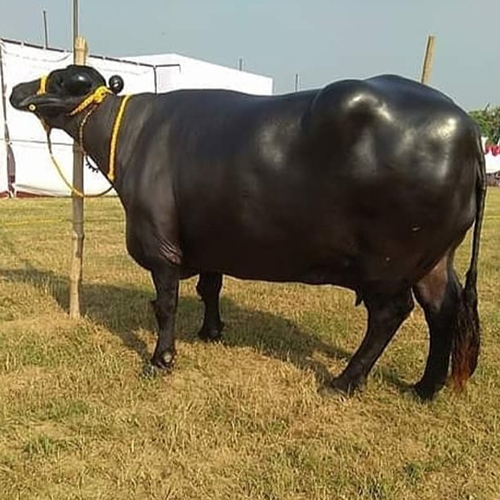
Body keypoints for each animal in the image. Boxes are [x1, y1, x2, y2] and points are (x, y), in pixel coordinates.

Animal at [10, 65, 484, 398]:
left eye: (62, 79)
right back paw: (425, 387)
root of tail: (467, 127)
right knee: (443, 308)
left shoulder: (161, 245)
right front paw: (211, 331)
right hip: (435, 258)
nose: (15, 90)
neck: (131, 135)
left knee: (390, 314)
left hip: (389, 261)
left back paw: (345, 380)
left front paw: (161, 359)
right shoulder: (209, 241)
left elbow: (166, 304)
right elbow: (209, 287)